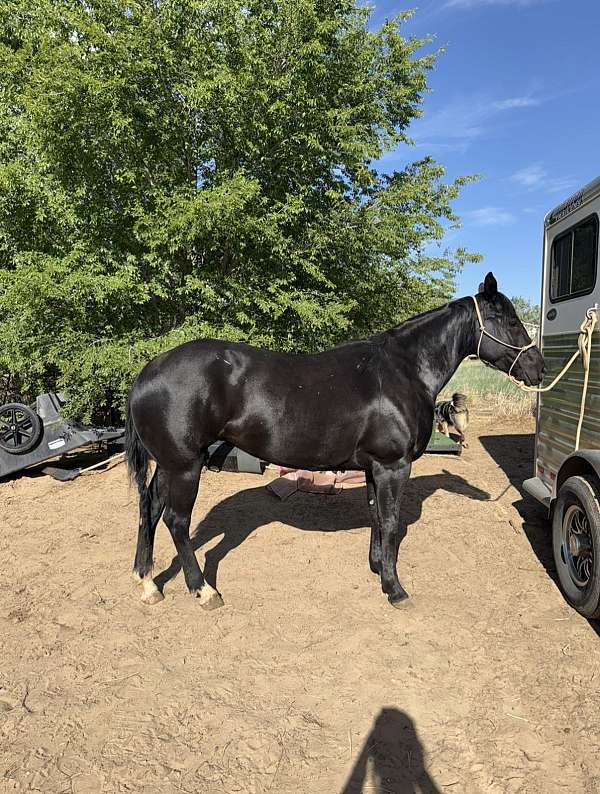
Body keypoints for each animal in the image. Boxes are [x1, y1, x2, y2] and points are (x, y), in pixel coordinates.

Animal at [125, 272, 544, 610]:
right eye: (509, 320)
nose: (538, 368)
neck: (405, 371)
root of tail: (148, 371)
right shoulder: (393, 466)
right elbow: (391, 521)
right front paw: (395, 589)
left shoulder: (375, 468)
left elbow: (376, 516)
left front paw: (378, 567)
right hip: (185, 465)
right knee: (176, 521)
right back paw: (203, 590)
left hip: (170, 464)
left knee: (150, 508)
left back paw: (147, 583)